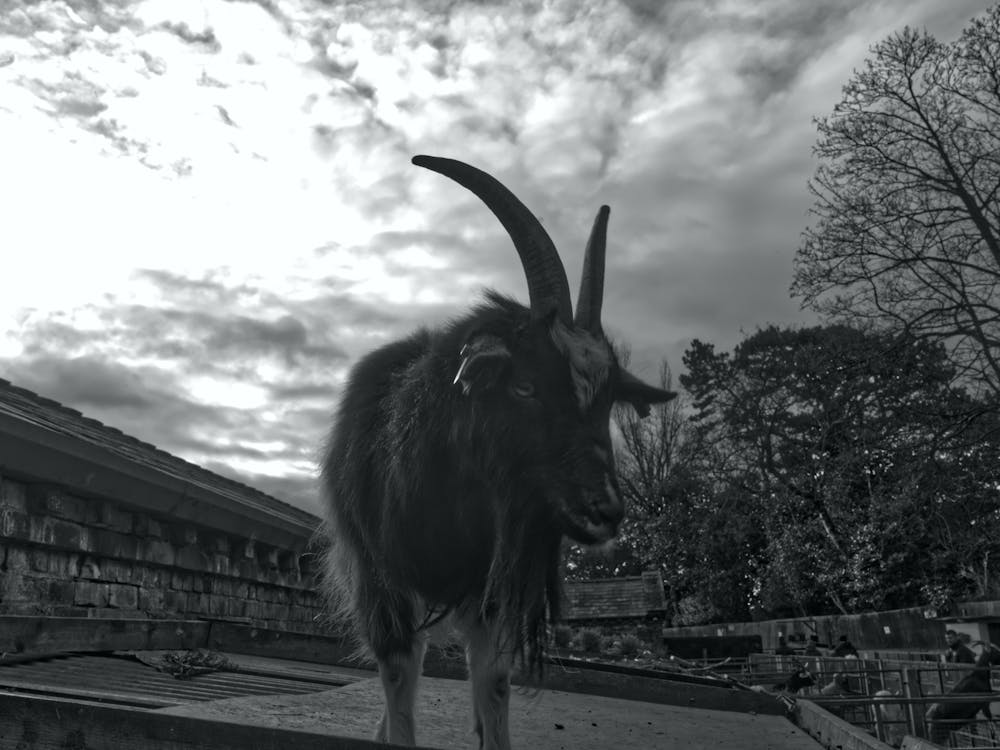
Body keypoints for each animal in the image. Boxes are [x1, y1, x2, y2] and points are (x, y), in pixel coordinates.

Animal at [320, 155, 676, 749]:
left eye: (607, 404)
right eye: (525, 387)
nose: (604, 509)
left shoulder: (491, 590)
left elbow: (493, 683)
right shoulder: (382, 579)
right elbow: (399, 677)